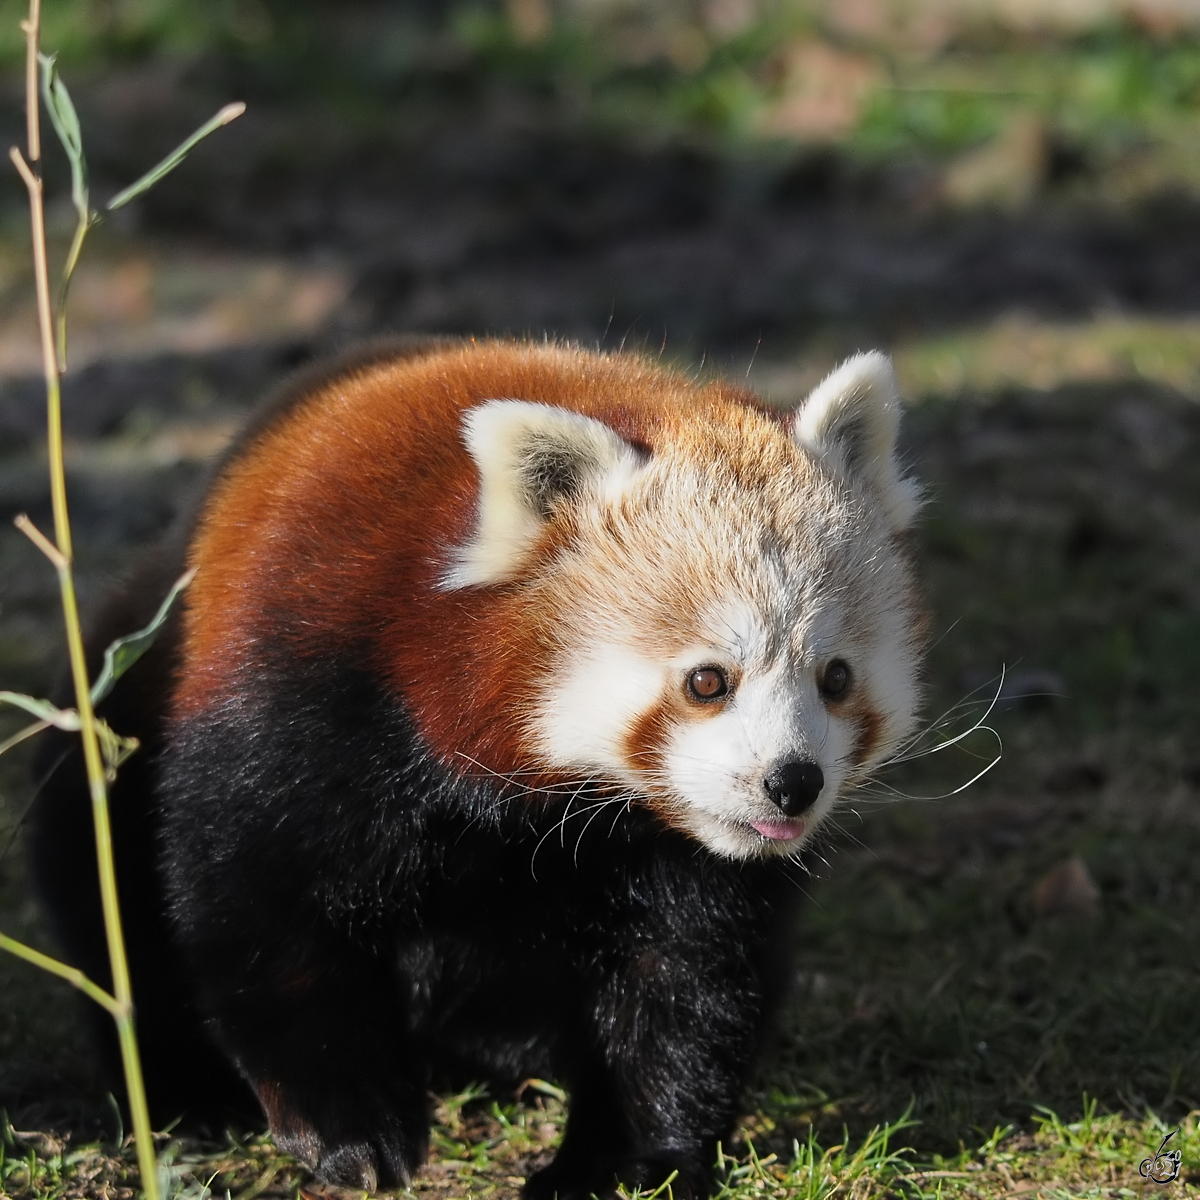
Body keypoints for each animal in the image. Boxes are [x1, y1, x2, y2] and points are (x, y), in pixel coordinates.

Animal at [30, 336, 926, 1200]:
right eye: (708, 681)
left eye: (835, 678)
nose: (793, 781)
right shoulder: (307, 682)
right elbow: (262, 906)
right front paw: (349, 1124)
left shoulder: (675, 853)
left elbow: (687, 978)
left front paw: (624, 1158)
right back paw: (185, 1092)